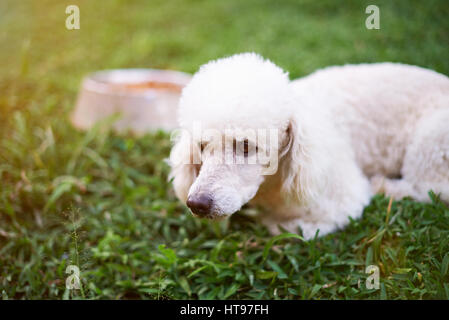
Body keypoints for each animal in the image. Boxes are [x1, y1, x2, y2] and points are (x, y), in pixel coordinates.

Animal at [168, 52, 448, 239]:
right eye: (202, 145)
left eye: (246, 145)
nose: (197, 203)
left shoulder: (340, 201)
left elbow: (290, 226)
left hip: (429, 144)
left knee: (429, 188)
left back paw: (385, 186)